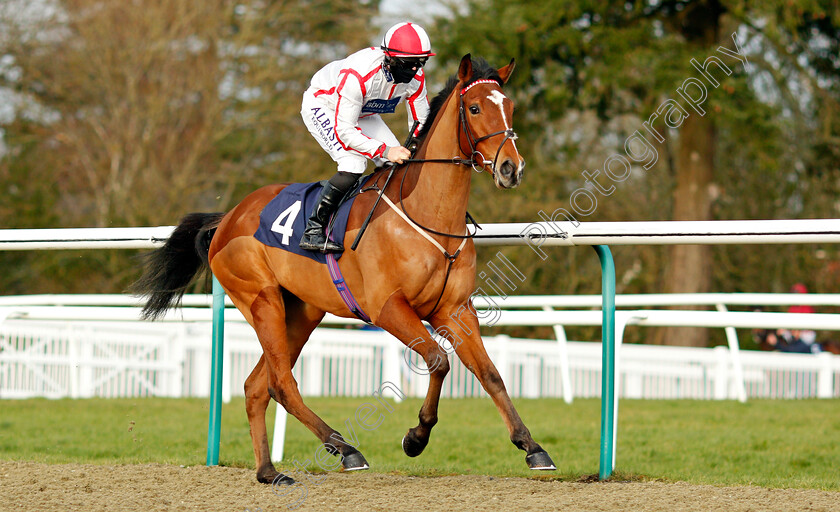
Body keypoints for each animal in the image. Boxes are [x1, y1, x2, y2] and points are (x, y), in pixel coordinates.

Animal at [131, 55, 556, 484]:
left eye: (510, 106)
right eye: (474, 108)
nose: (511, 168)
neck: (427, 215)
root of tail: (228, 218)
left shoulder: (455, 309)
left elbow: (490, 374)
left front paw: (532, 447)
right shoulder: (388, 309)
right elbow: (439, 359)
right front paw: (416, 437)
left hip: (301, 311)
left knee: (256, 386)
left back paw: (269, 471)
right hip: (262, 300)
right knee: (281, 383)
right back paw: (346, 449)